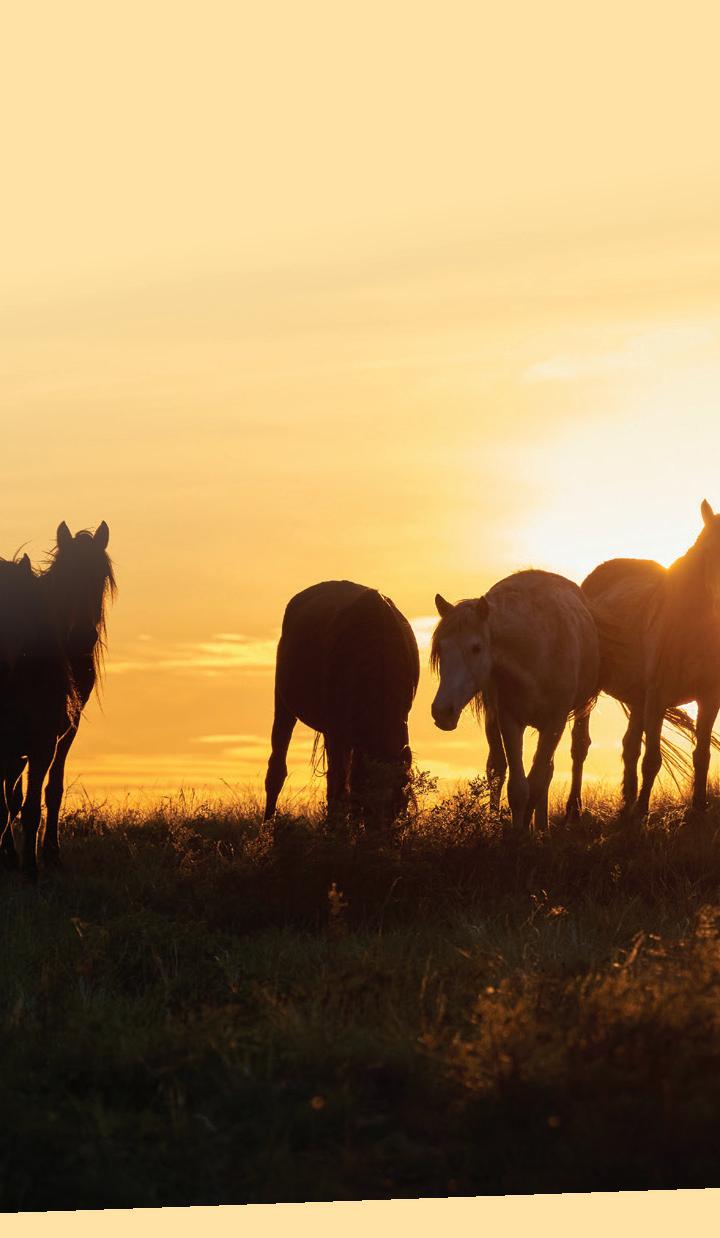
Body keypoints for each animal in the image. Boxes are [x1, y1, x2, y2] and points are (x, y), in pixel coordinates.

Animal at [0, 521, 115, 875]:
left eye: (101, 578)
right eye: (65, 578)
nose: (82, 636)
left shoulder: (64, 730)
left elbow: (51, 790)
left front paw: (49, 853)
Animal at [264, 580, 420, 827]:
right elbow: (339, 788)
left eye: (400, 807)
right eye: (371, 807)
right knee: (278, 768)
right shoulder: (337, 732)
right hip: (284, 705)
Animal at [430, 570, 600, 830]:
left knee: (561, 759)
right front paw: (516, 833)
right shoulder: (509, 720)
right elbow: (519, 788)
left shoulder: (554, 723)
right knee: (497, 767)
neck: (535, 651)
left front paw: (528, 832)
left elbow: (538, 780)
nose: (441, 711)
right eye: (441, 648)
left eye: (476, 648)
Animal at [566, 499, 720, 820]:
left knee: (629, 746)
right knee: (581, 746)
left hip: (637, 697)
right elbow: (652, 759)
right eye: (708, 550)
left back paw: (626, 803)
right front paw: (641, 812)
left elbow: (702, 755)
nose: (718, 602)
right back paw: (574, 808)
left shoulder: (709, 698)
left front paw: (699, 808)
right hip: (594, 693)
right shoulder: (657, 698)